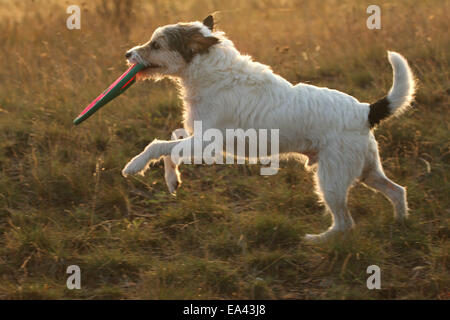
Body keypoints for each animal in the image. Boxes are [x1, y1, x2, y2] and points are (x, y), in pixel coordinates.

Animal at [122, 14, 414, 240]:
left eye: (156, 44)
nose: (127, 54)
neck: (211, 73)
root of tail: (365, 111)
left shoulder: (206, 144)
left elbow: (159, 146)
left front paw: (136, 165)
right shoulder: (196, 139)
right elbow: (170, 146)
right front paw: (172, 179)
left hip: (332, 180)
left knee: (345, 224)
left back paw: (317, 241)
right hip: (366, 171)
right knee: (397, 191)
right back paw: (400, 224)